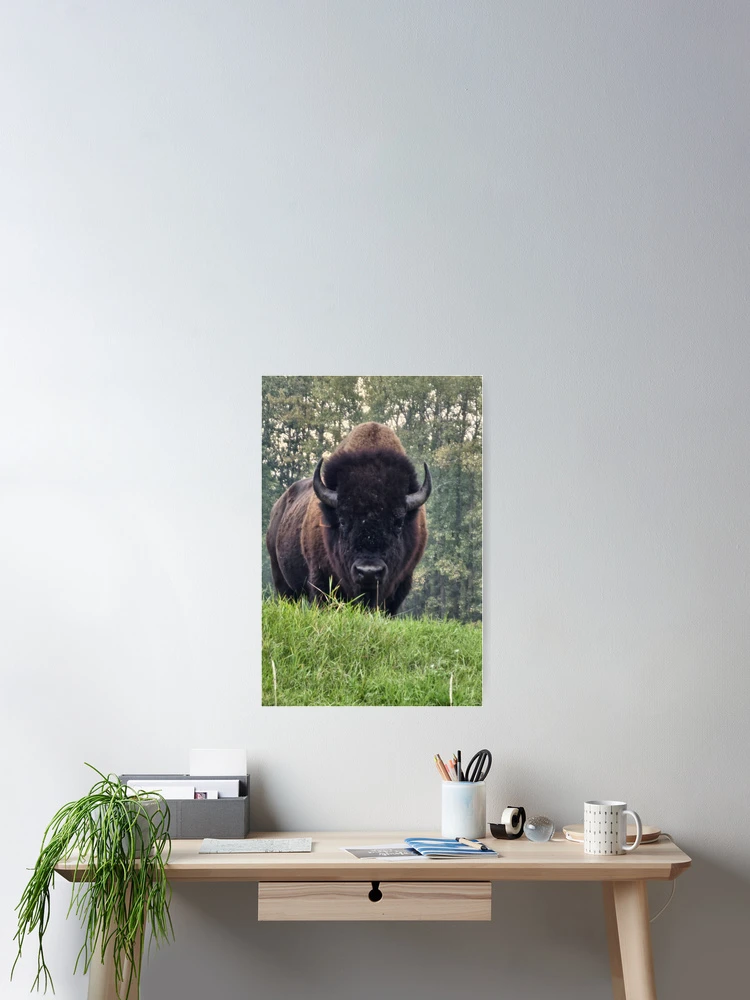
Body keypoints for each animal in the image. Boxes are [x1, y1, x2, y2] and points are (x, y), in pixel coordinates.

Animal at [266, 422, 431, 615]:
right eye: (343, 520)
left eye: (398, 523)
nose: (369, 572)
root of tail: (278, 506)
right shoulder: (321, 579)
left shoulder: (402, 582)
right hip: (282, 581)